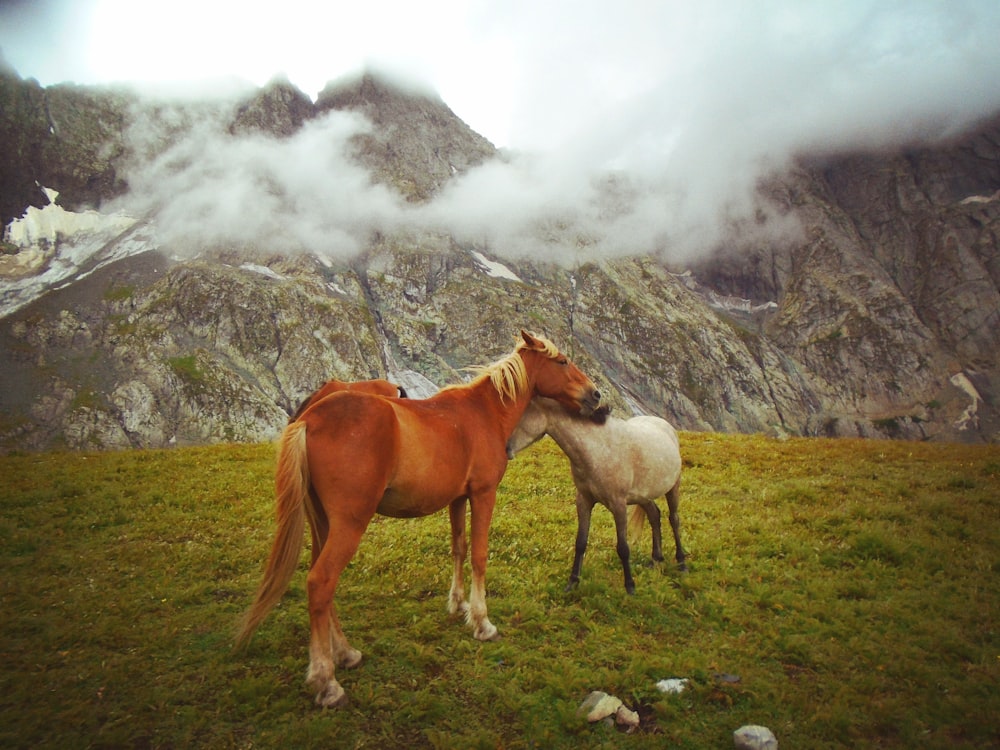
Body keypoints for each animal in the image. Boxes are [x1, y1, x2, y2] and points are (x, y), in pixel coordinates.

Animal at [237, 332, 596, 708]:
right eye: (562, 362)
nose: (596, 394)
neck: (484, 413)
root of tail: (311, 418)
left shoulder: (458, 498)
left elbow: (459, 547)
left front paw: (457, 604)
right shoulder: (483, 494)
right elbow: (479, 555)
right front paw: (482, 622)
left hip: (323, 523)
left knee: (320, 584)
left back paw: (346, 653)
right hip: (349, 524)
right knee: (321, 582)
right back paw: (327, 682)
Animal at [508, 396, 688, 596]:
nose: (505, 447)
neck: (598, 448)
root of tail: (666, 425)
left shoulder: (619, 505)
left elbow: (623, 548)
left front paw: (630, 586)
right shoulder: (583, 500)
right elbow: (580, 542)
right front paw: (572, 582)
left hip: (673, 487)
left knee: (674, 519)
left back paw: (681, 562)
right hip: (643, 496)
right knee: (654, 516)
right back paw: (656, 559)